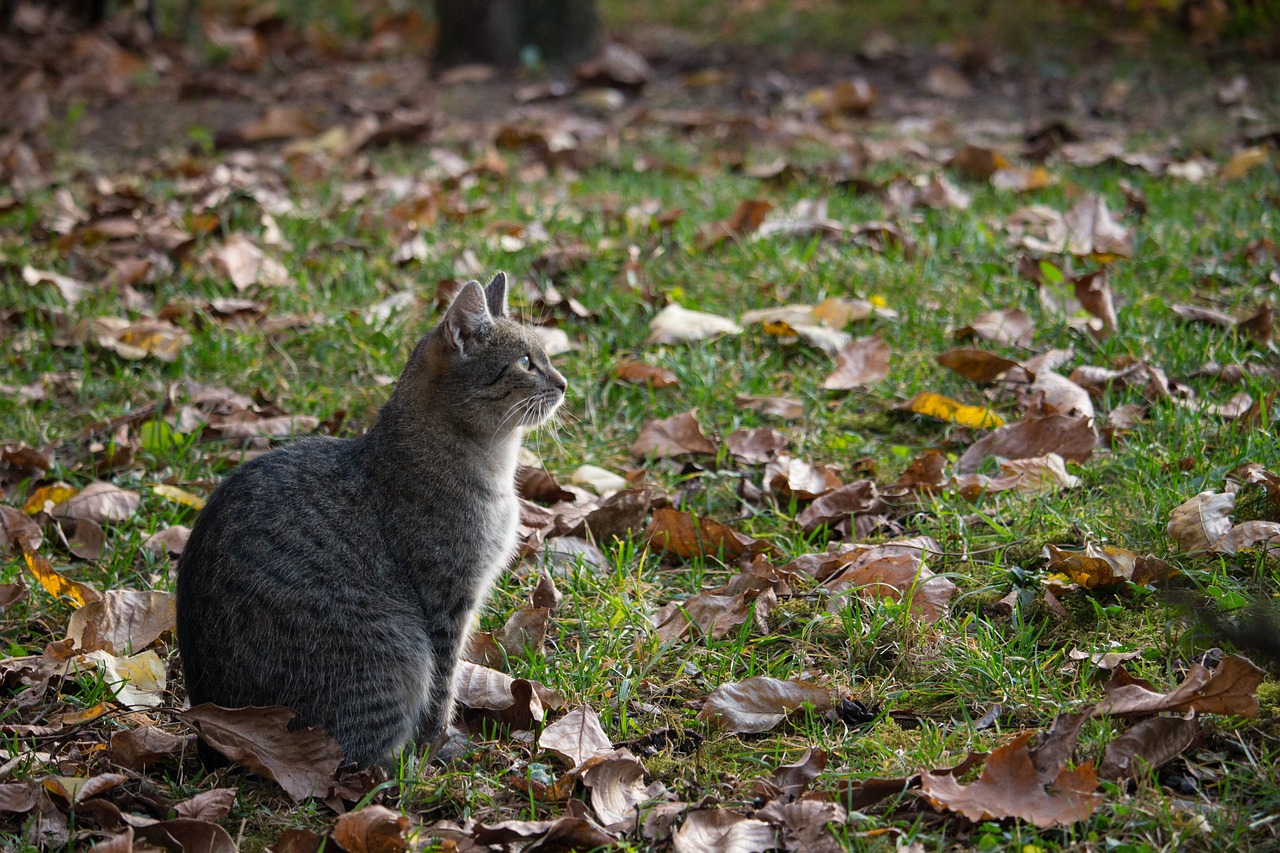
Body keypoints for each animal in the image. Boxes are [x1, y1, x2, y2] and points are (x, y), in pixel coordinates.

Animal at [174, 272, 565, 763]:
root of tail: (210, 730)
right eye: (526, 362)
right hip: (396, 650)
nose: (564, 383)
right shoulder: (447, 600)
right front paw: (441, 745)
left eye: (545, 356)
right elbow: (443, 686)